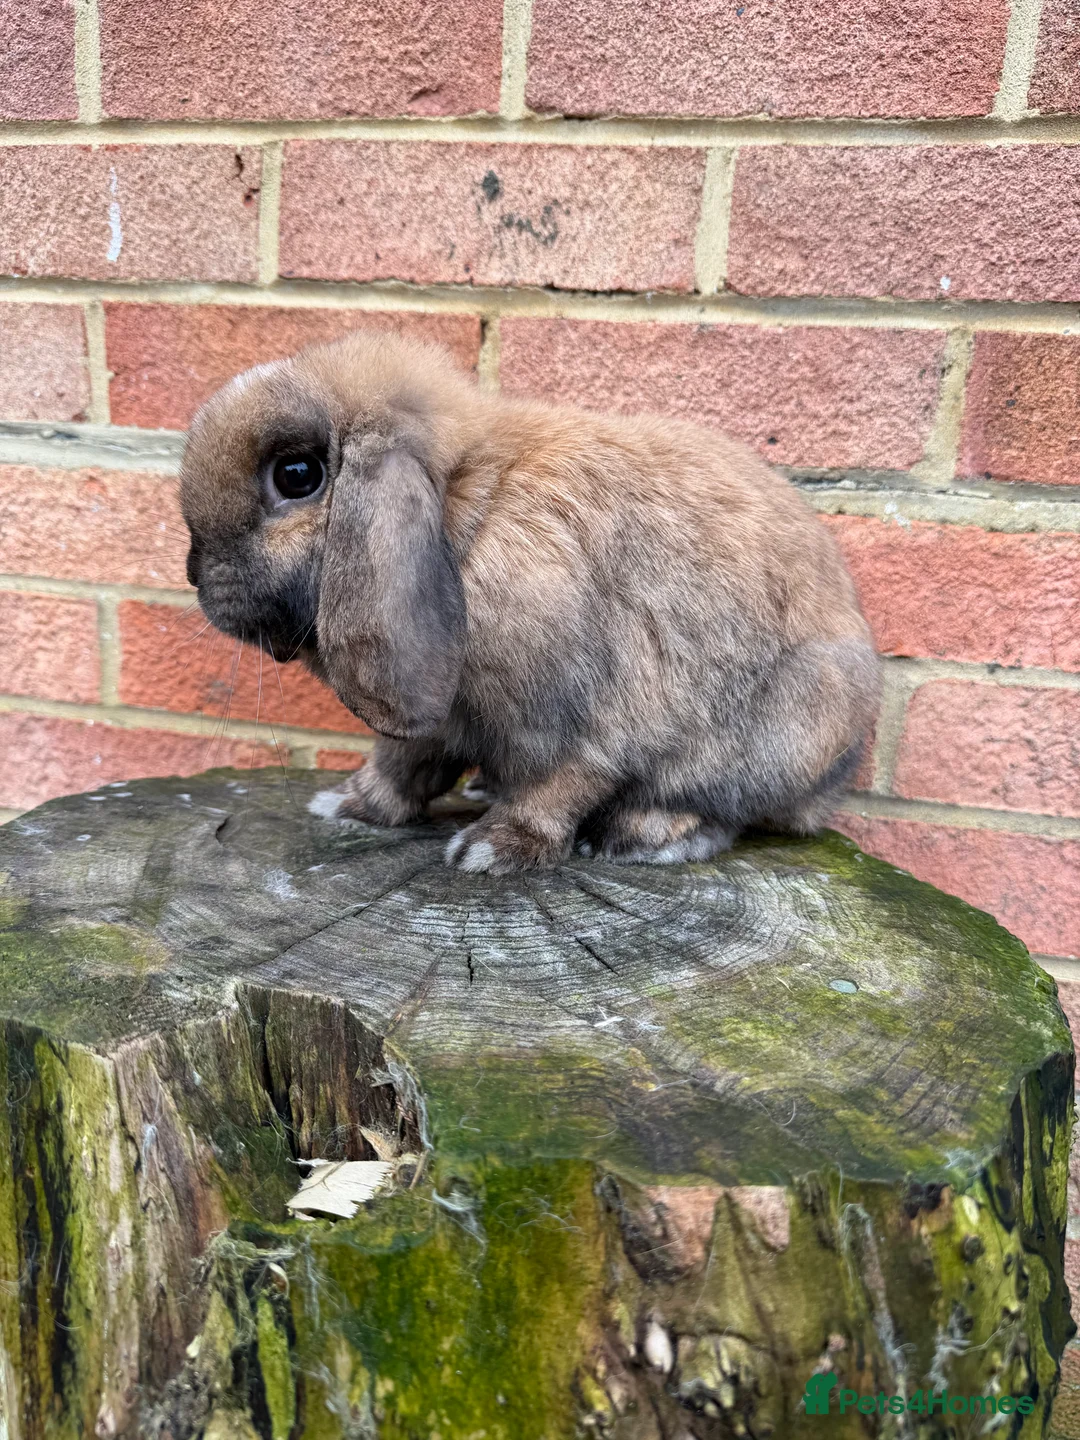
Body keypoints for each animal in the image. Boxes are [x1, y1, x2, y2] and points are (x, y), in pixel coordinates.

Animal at [179, 328, 881, 875]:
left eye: (297, 475)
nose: (192, 573)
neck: (468, 518)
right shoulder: (437, 720)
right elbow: (399, 765)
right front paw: (346, 808)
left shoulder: (586, 722)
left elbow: (558, 786)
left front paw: (489, 851)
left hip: (777, 735)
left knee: (723, 811)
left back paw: (639, 836)